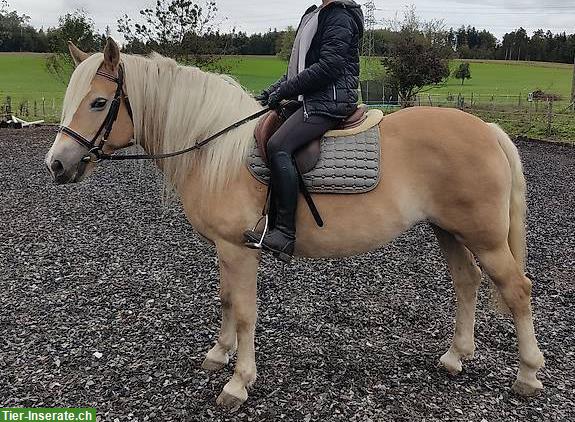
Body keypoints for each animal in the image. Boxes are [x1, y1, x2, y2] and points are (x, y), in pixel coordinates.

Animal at [44, 38, 544, 408]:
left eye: (99, 102)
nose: (56, 164)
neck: (214, 148)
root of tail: (488, 130)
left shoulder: (239, 249)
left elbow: (245, 311)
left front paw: (238, 381)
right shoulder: (224, 249)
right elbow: (226, 301)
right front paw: (218, 354)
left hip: (483, 237)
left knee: (517, 290)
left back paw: (528, 375)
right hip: (450, 231)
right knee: (467, 282)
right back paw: (456, 357)